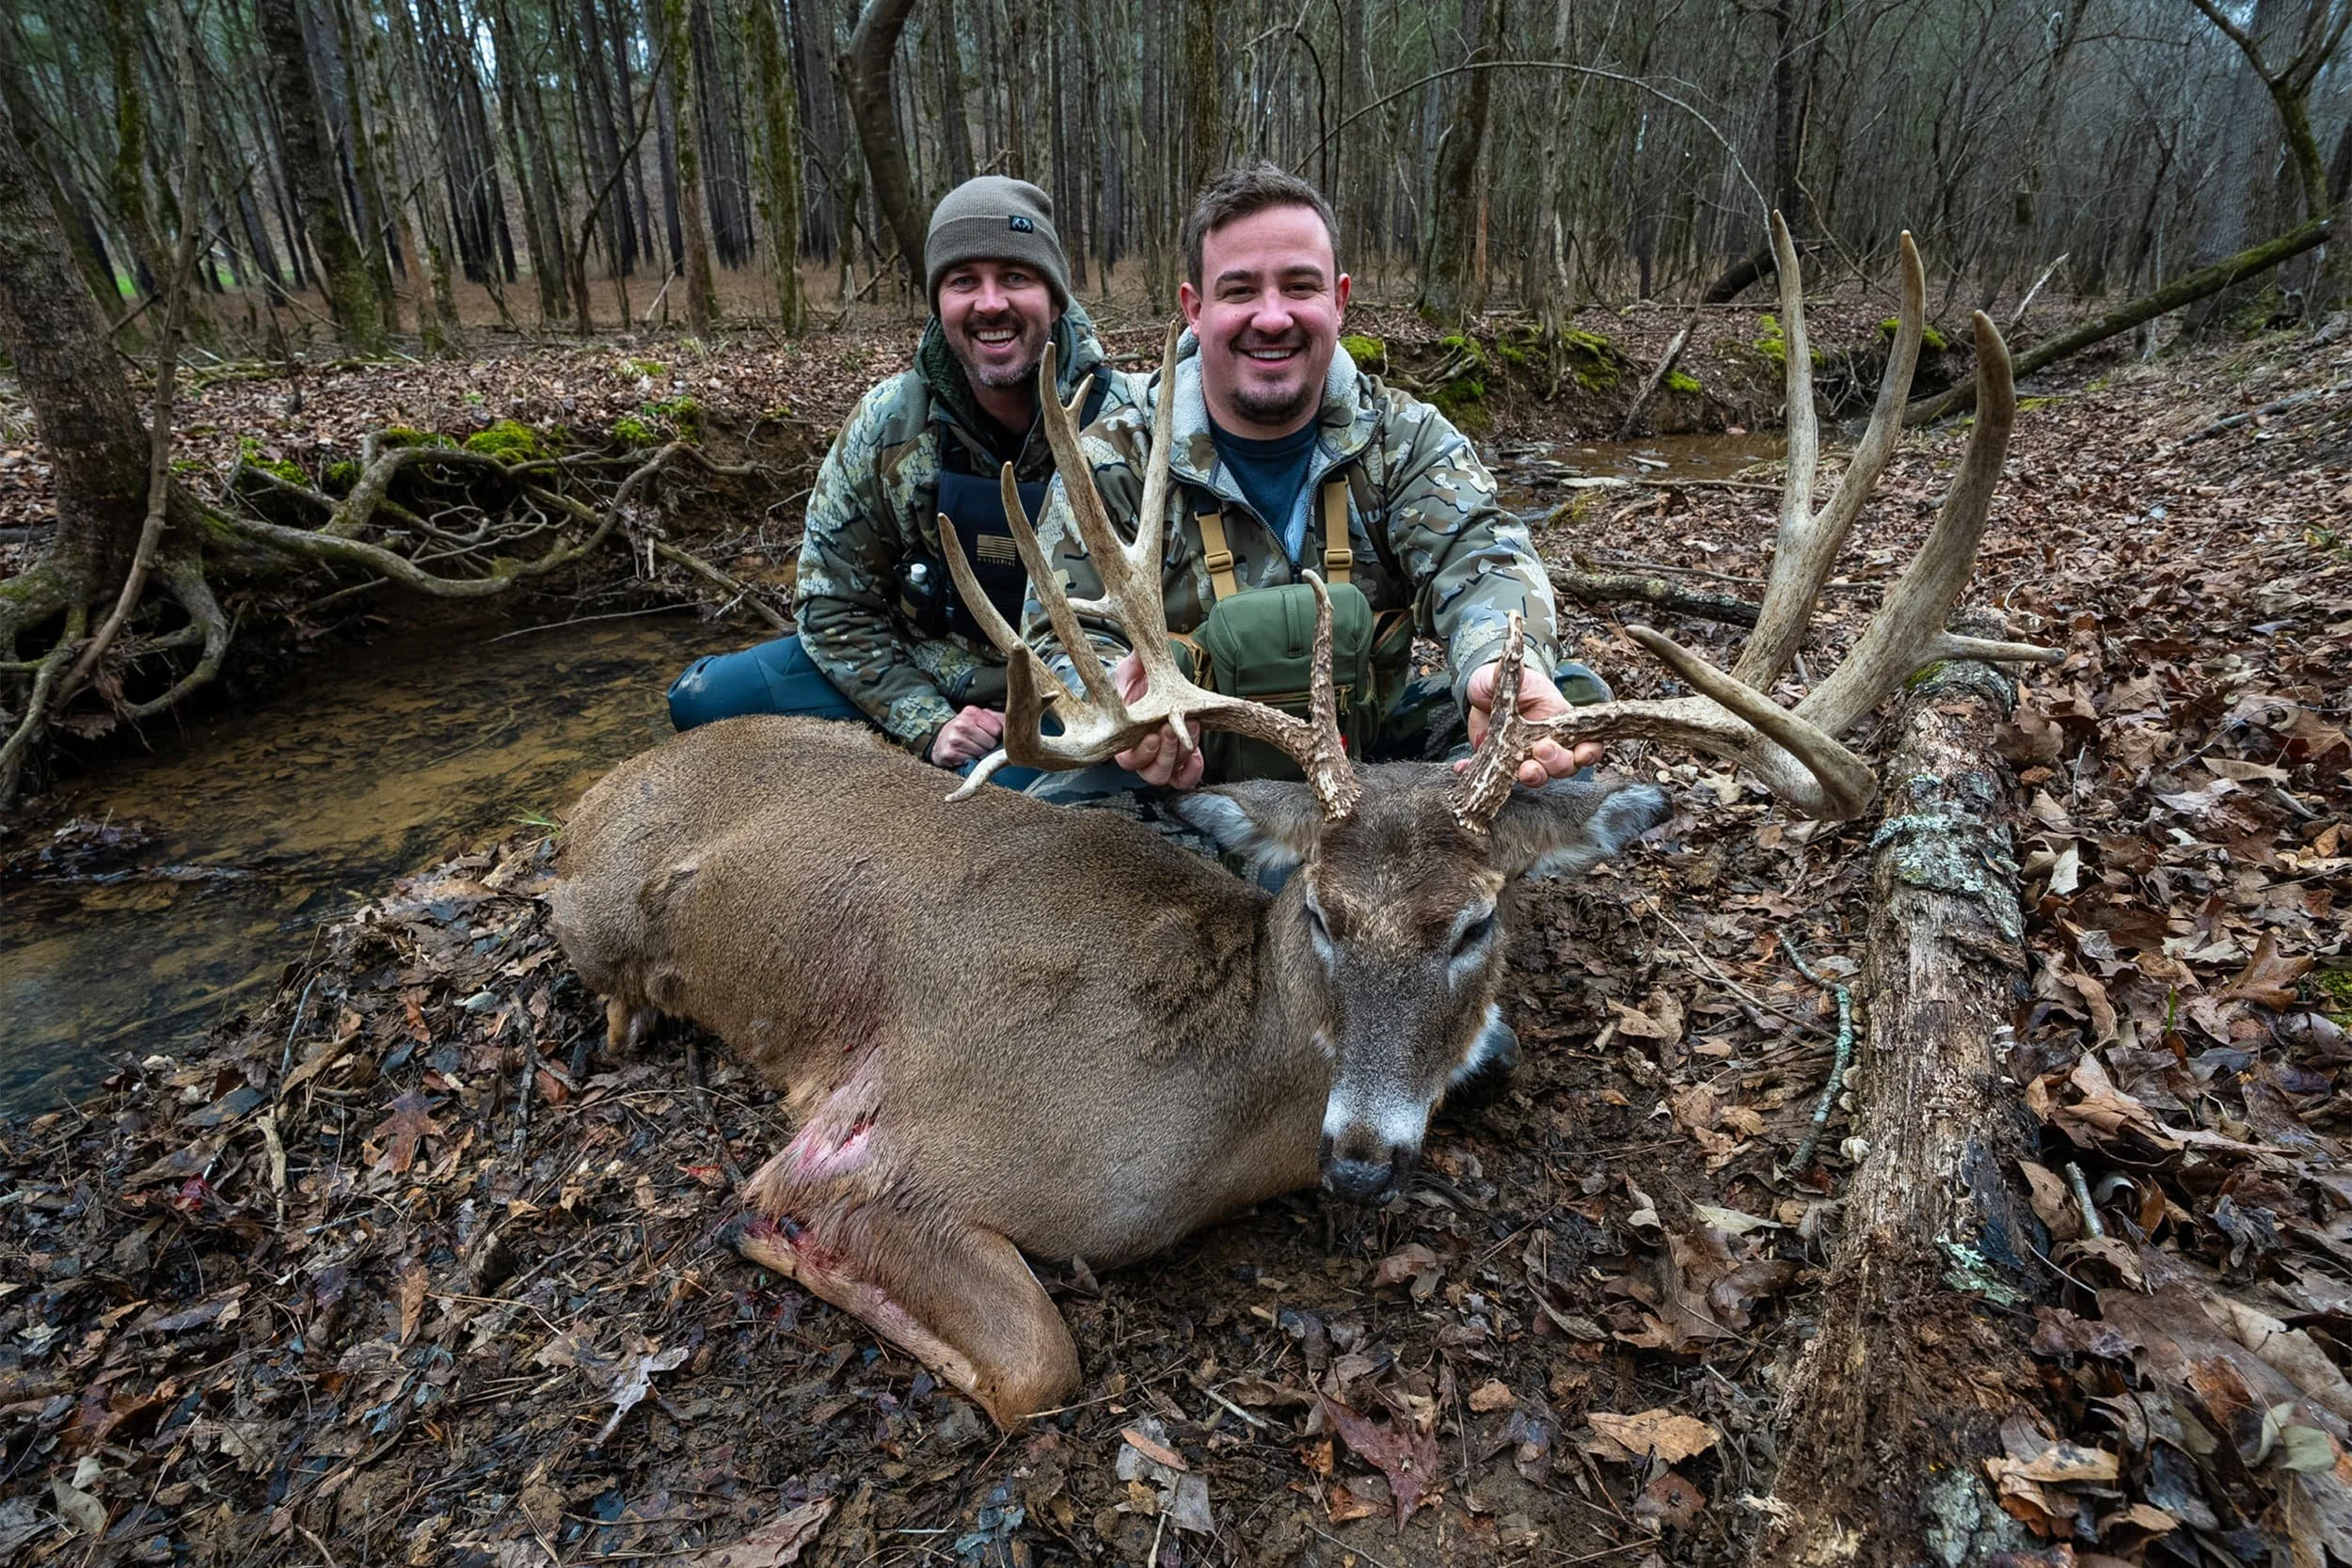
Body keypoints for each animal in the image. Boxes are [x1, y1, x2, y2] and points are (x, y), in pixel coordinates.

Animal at [548, 216, 2058, 1429]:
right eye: (1321, 913)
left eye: (1476, 922)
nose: (1365, 1154)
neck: (1224, 1100)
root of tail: (585, 799)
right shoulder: (900, 1145)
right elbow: (1034, 1357)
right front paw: (774, 1231)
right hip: (607, 913)